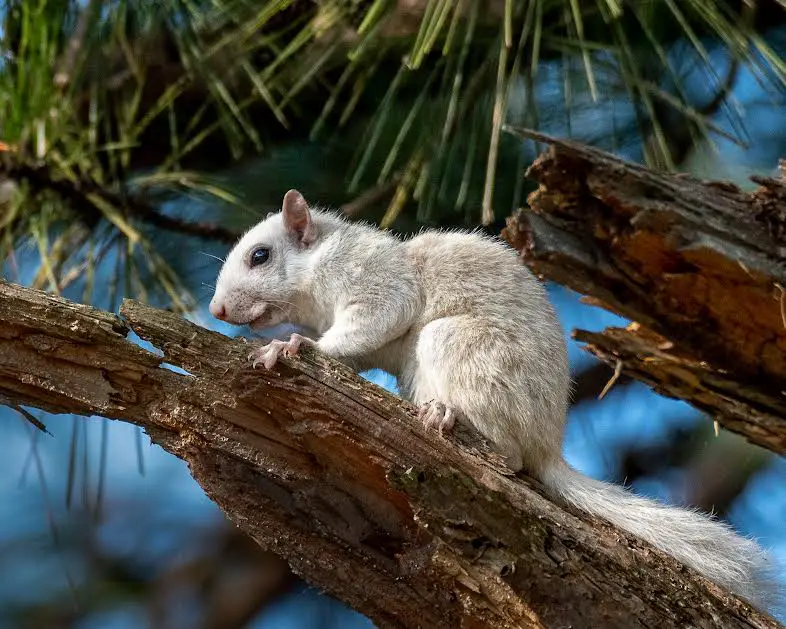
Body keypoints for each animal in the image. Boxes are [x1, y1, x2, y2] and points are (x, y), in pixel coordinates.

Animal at [207, 188, 772, 608]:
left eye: (260, 256)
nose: (215, 310)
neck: (318, 269)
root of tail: (548, 444)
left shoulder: (375, 280)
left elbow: (378, 316)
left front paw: (293, 346)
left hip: (462, 350)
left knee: (511, 455)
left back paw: (449, 418)